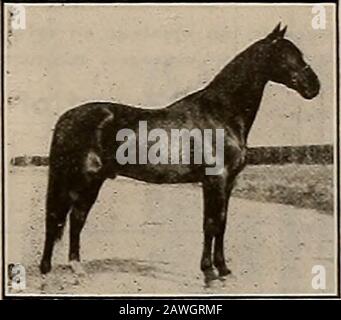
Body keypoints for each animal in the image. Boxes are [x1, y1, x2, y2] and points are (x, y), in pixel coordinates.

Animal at [39, 23, 318, 282]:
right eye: (287, 55)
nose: (315, 86)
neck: (221, 114)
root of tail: (67, 117)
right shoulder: (215, 180)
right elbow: (211, 223)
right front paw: (208, 271)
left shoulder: (228, 182)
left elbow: (222, 223)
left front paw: (223, 268)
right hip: (83, 178)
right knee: (64, 217)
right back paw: (58, 268)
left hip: (90, 180)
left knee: (72, 218)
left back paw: (67, 266)